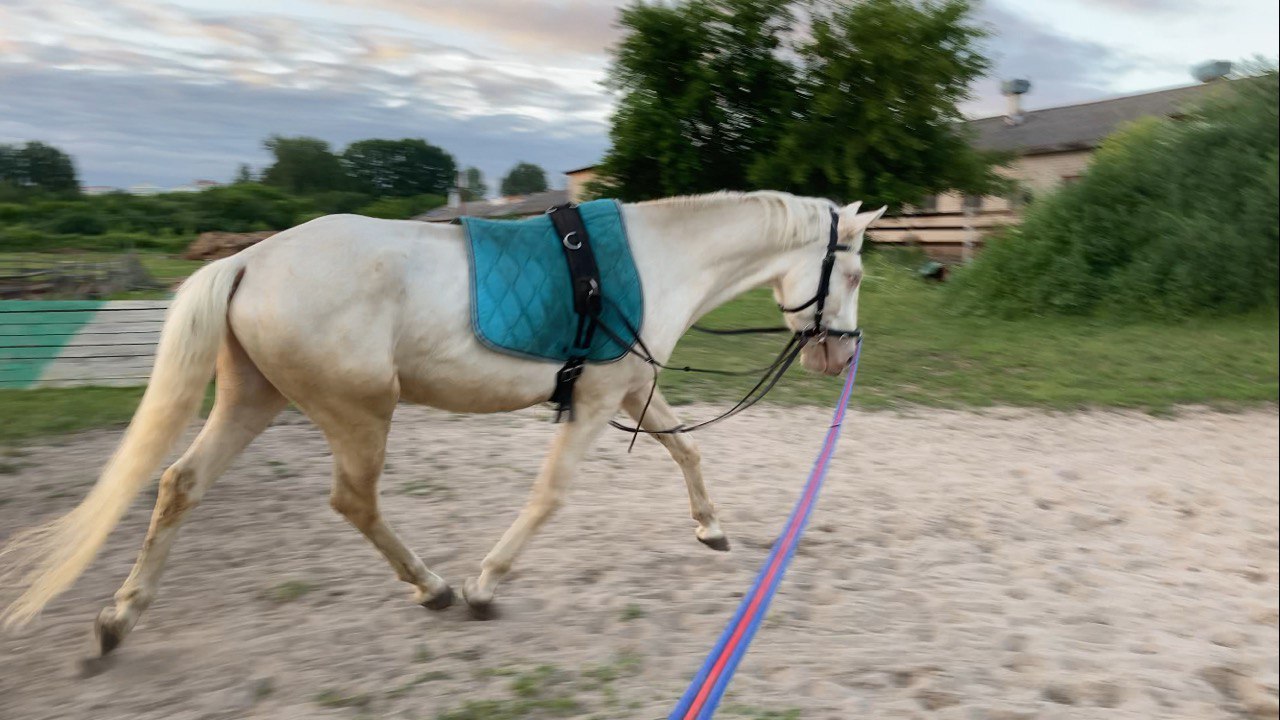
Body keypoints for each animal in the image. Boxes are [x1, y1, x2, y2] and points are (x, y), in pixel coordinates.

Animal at [0, 189, 880, 650]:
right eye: (855, 273)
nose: (840, 357)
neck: (655, 265)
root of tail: (249, 258)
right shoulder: (598, 401)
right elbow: (550, 496)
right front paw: (487, 584)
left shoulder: (630, 391)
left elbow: (684, 454)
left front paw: (711, 528)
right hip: (360, 413)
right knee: (353, 501)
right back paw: (434, 587)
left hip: (255, 399)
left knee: (179, 484)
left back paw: (120, 616)